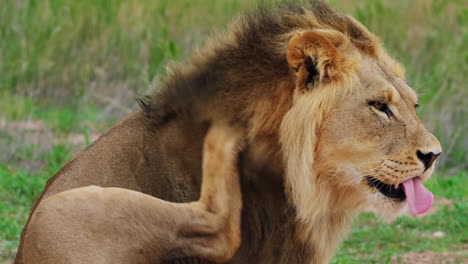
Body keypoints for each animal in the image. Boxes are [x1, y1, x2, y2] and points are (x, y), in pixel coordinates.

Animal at [15, 1, 442, 262]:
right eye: (380, 106)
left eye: (413, 105)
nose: (434, 155)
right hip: (60, 213)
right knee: (219, 228)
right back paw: (225, 131)